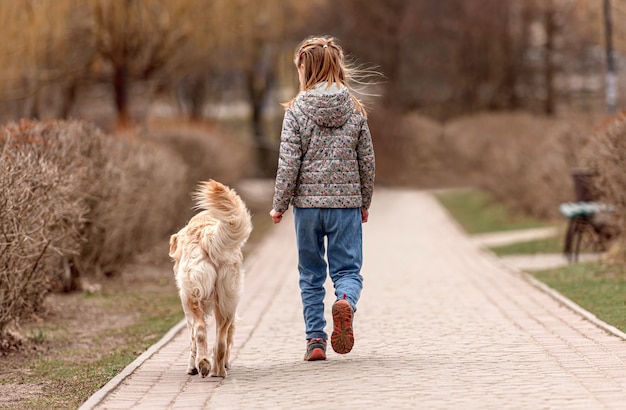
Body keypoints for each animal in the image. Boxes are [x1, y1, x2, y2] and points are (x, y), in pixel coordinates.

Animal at [169, 179, 252, 378]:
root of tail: (206, 235)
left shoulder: (186, 307)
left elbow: (192, 339)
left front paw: (191, 366)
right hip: (227, 300)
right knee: (219, 338)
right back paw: (216, 370)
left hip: (192, 297)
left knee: (201, 332)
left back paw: (207, 365)